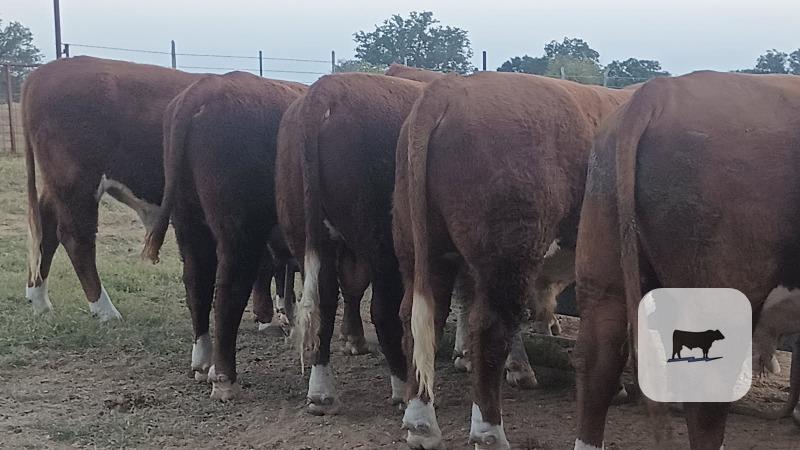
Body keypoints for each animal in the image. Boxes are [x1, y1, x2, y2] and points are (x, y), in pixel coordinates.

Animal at [141, 72, 306, 400]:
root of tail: (204, 89)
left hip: (189, 221)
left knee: (197, 282)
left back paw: (203, 362)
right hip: (240, 230)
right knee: (229, 290)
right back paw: (224, 377)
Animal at [394, 71, 631, 449]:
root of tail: (448, 89)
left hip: (421, 249)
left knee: (420, 318)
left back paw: (421, 425)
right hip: (508, 252)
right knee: (491, 326)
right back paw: (489, 431)